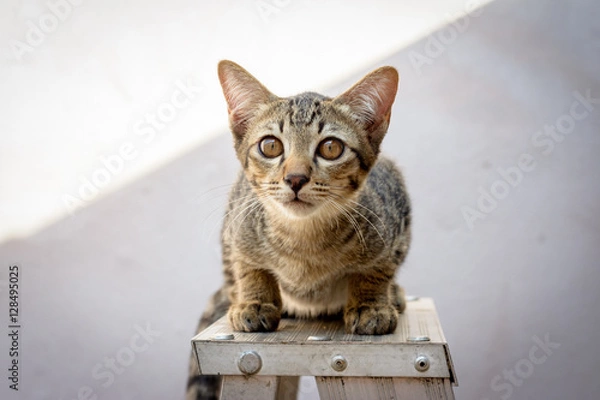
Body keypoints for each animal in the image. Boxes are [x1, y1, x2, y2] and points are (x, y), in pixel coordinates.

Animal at [188, 60, 412, 400]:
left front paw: (371, 304)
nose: (295, 178)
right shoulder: (236, 224)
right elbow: (247, 265)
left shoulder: (393, 219)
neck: (303, 239)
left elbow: (378, 268)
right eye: (270, 146)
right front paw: (254, 299)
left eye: (331, 148)